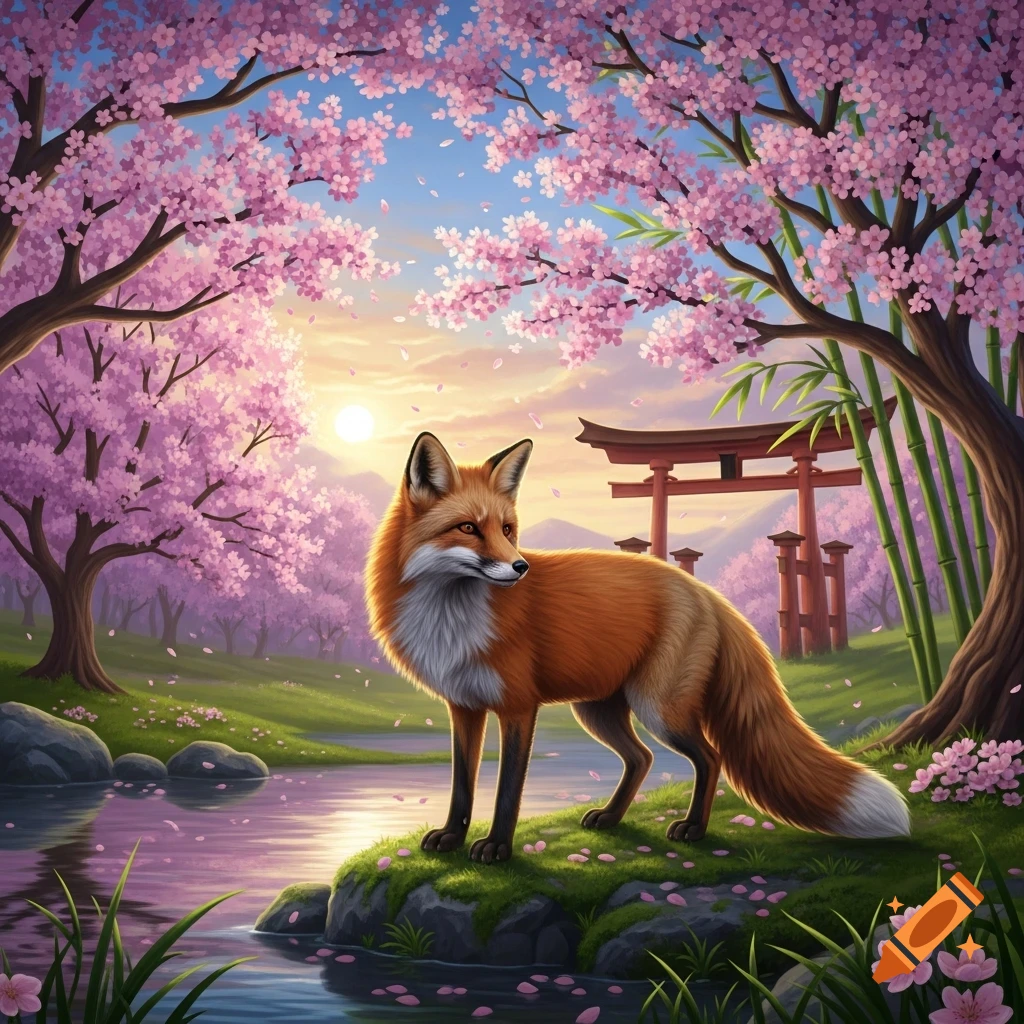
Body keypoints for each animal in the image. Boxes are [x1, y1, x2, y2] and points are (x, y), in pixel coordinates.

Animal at [364, 431, 910, 863]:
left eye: (507, 529)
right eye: (468, 528)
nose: (521, 568)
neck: (452, 618)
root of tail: (706, 592)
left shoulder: (518, 707)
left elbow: (507, 792)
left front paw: (497, 847)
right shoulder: (464, 707)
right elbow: (462, 785)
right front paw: (452, 838)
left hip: (657, 707)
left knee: (709, 757)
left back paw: (693, 828)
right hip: (599, 710)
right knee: (642, 759)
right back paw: (611, 816)